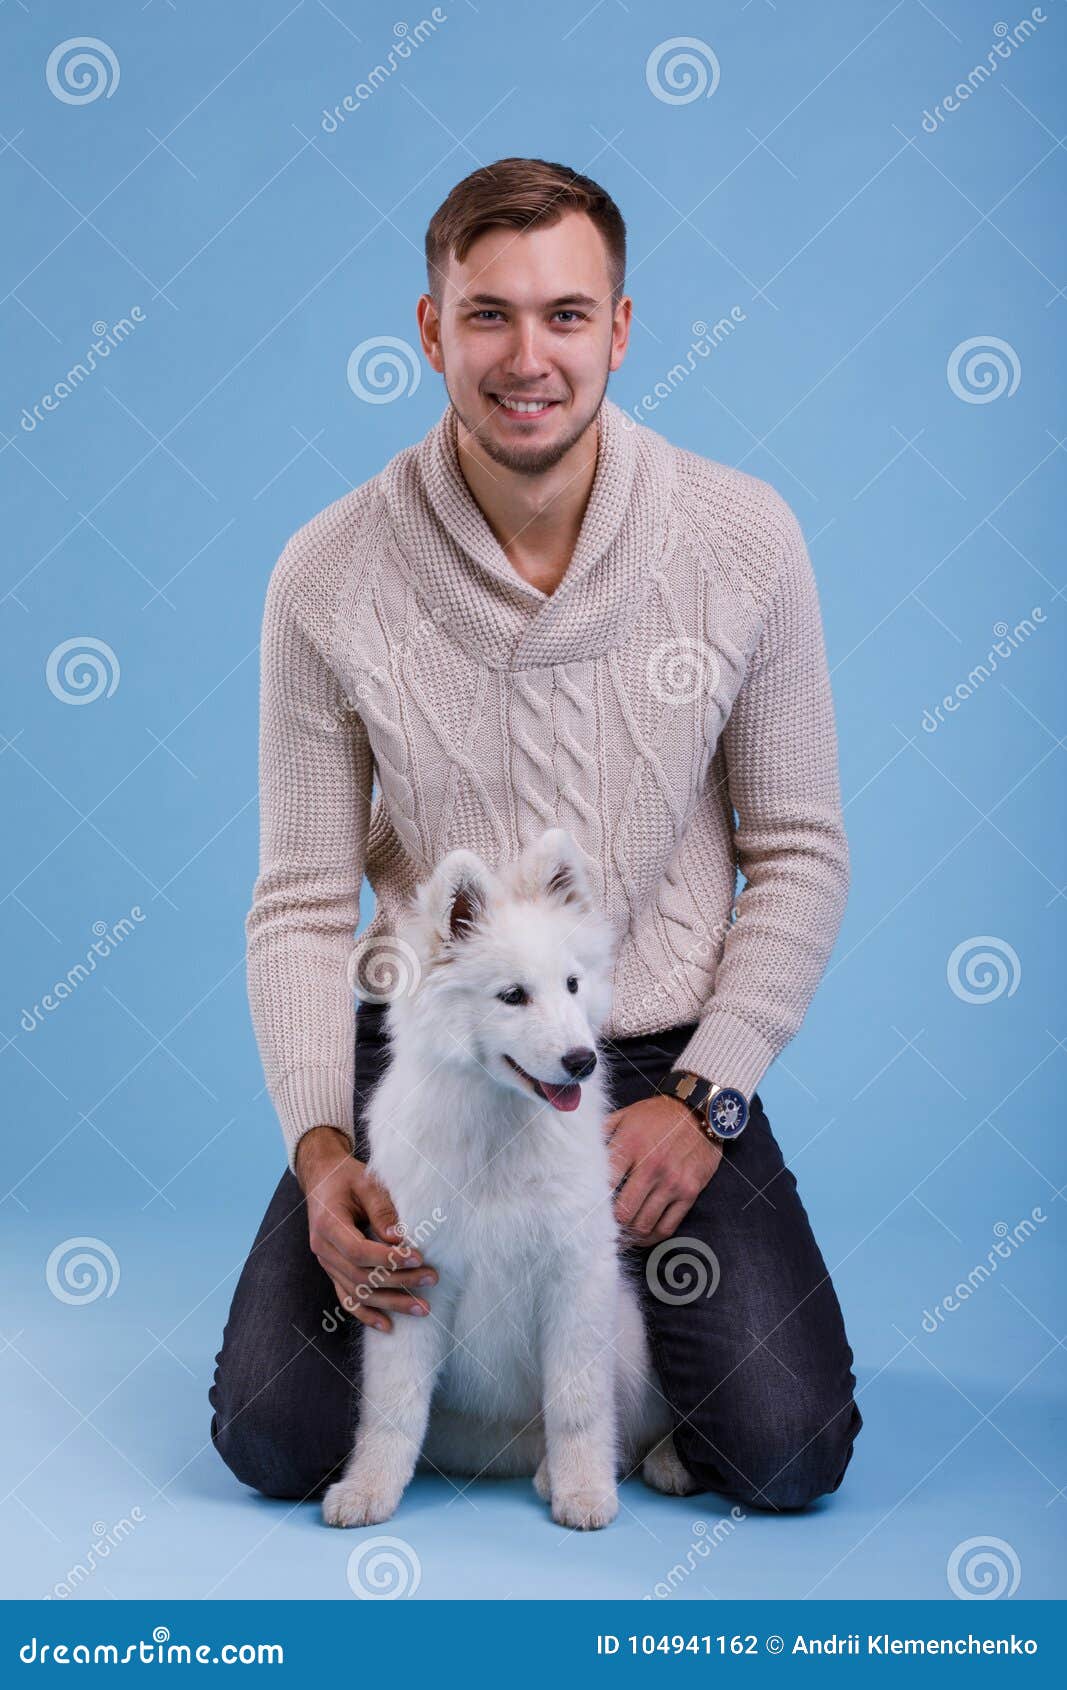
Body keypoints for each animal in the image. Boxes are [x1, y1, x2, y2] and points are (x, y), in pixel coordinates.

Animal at [321, 824, 696, 1527]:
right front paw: (368, 1489)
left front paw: (584, 1493)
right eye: (513, 996)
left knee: (636, 1424)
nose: (582, 1061)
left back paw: (647, 1466)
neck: (502, 1126)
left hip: (628, 1334)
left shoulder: (575, 1279)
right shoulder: (412, 1282)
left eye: (573, 984)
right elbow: (392, 1410)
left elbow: (579, 1407)